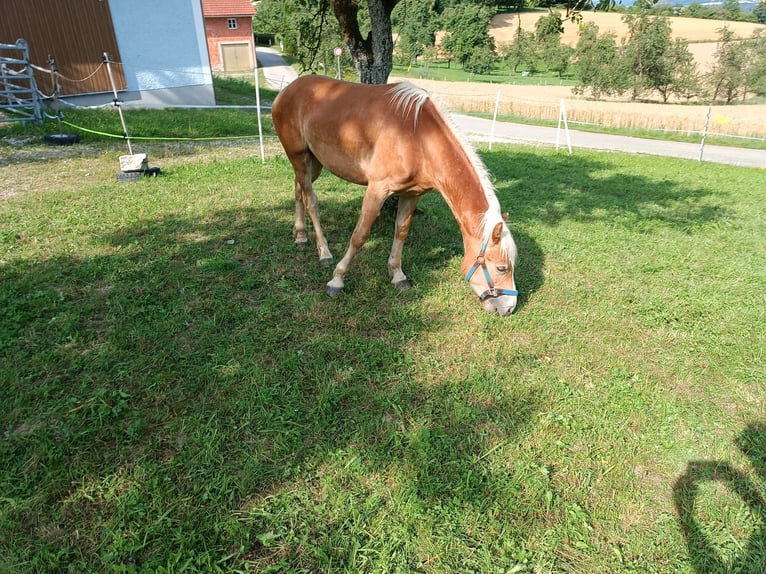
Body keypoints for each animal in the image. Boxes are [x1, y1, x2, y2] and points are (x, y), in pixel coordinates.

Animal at [272, 75, 520, 318]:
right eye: (501, 267)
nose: (509, 308)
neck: (418, 137)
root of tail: (287, 90)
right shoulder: (377, 190)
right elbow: (359, 235)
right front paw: (337, 280)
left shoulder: (411, 194)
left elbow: (401, 231)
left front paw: (398, 276)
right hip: (299, 157)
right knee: (311, 201)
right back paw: (324, 252)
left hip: (313, 162)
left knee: (298, 191)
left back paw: (300, 236)